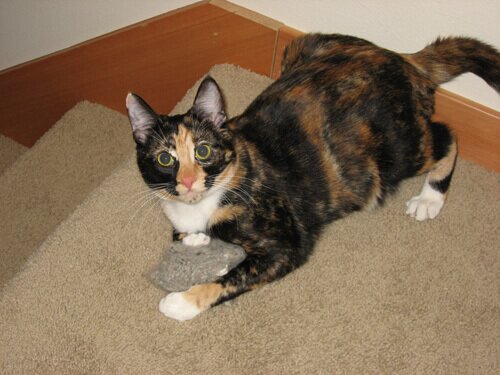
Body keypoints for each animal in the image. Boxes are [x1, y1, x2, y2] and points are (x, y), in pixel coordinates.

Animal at [126, 33, 500, 322]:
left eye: (203, 151)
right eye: (164, 159)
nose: (189, 182)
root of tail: (403, 59)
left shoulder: (286, 244)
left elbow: (234, 278)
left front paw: (182, 302)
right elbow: (183, 233)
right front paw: (194, 239)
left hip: (395, 153)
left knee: (446, 137)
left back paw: (430, 198)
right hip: (302, 46)